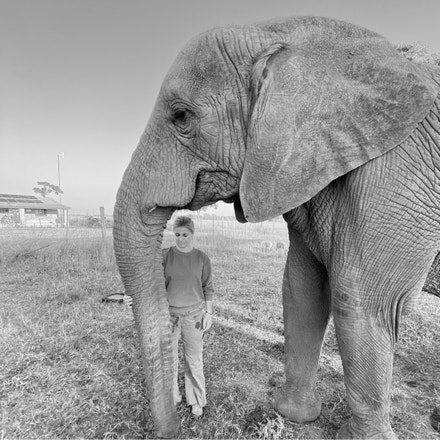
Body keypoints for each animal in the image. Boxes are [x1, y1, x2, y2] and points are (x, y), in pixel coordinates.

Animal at [113, 15, 440, 438]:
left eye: (181, 116)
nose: (177, 423)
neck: (276, 33)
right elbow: (302, 288)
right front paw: (294, 415)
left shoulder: (400, 173)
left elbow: (364, 302)